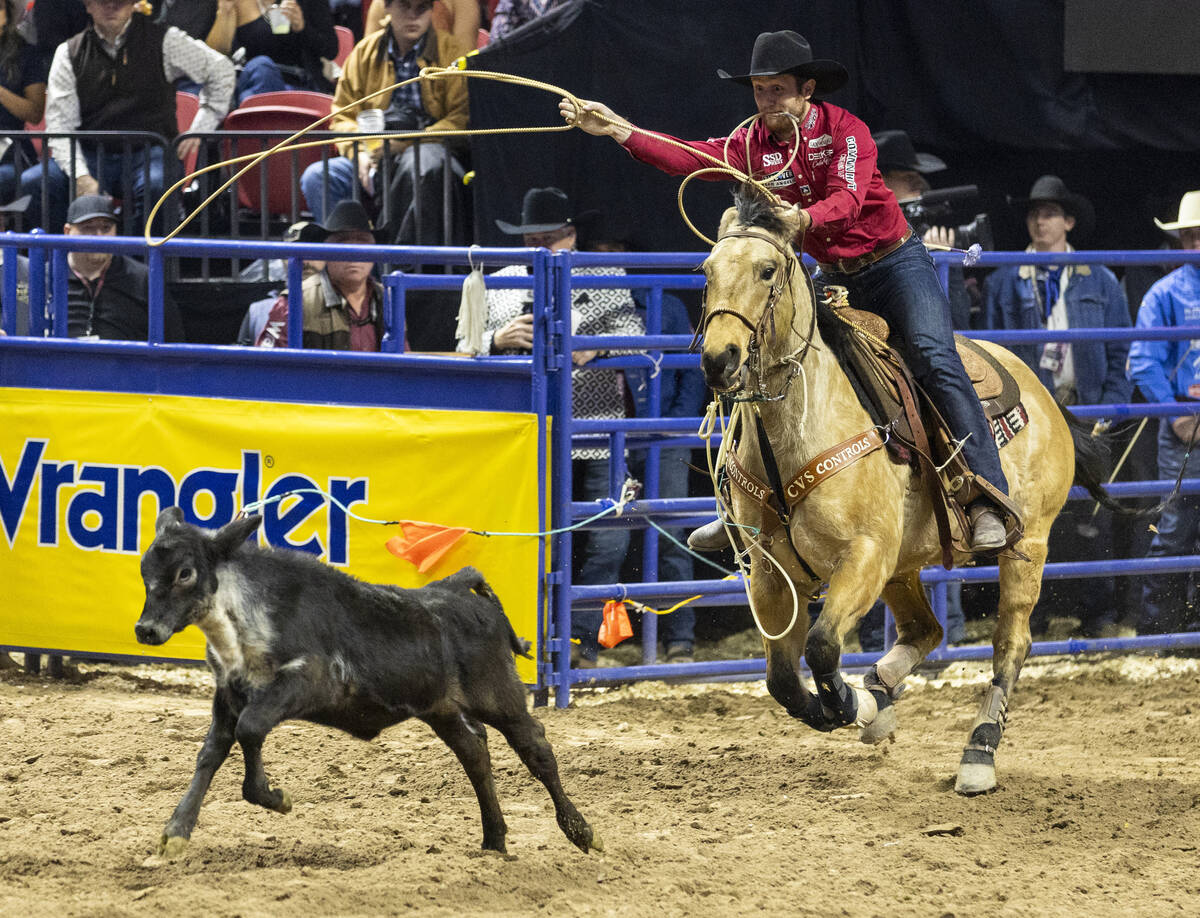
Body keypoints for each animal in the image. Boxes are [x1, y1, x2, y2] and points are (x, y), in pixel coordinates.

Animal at [135, 508, 595, 859]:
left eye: (185, 573)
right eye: (145, 571)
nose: (146, 629)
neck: (243, 616)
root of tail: (459, 590)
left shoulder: (305, 684)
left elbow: (250, 730)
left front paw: (275, 797)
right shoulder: (227, 696)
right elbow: (210, 754)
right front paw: (175, 832)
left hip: (500, 696)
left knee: (536, 750)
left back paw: (581, 832)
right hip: (442, 710)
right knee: (475, 754)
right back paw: (494, 842)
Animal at [700, 188, 1104, 796]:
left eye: (766, 270)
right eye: (706, 271)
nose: (718, 358)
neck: (798, 426)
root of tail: (1043, 391)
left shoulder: (865, 553)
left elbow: (822, 646)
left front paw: (847, 704)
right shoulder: (770, 572)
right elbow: (781, 680)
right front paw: (854, 705)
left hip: (1027, 543)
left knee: (1010, 643)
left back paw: (978, 753)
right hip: (904, 562)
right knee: (925, 628)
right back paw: (880, 695)